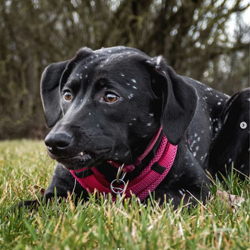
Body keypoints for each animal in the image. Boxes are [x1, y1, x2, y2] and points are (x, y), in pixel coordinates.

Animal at [23, 46, 250, 207]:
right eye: (67, 95)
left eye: (111, 97)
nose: (54, 142)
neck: (117, 170)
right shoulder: (57, 194)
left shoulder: (197, 189)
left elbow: (153, 200)